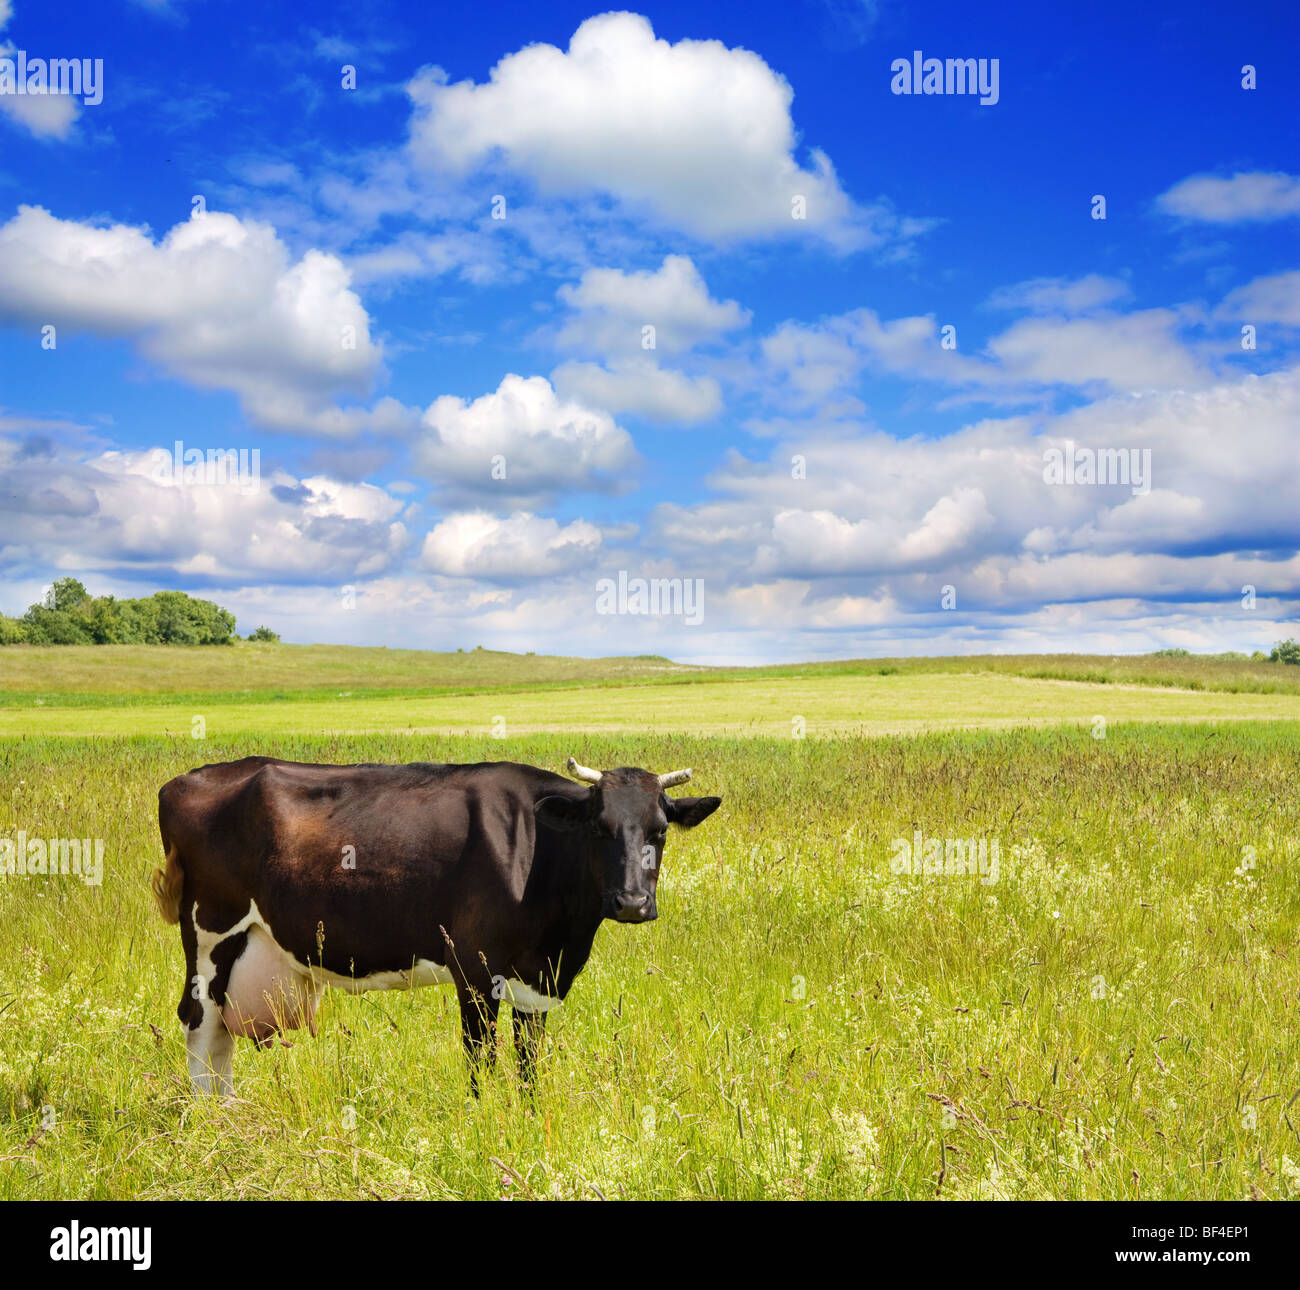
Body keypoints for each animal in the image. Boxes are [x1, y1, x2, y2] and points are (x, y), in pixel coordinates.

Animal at [152, 755, 721, 1097]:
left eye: (660, 830)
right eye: (600, 829)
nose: (632, 902)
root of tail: (188, 778)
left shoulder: (541, 977)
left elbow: (529, 1061)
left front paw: (530, 1119)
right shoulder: (474, 968)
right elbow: (479, 1058)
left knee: (219, 1034)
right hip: (210, 934)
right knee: (200, 1024)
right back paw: (213, 1122)